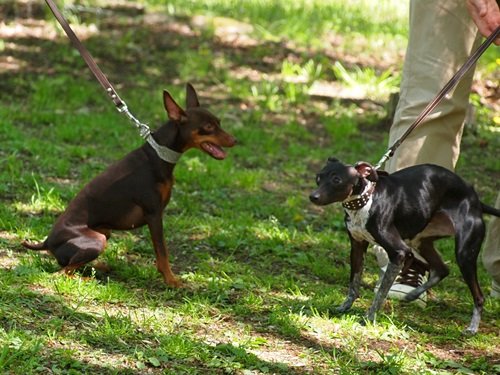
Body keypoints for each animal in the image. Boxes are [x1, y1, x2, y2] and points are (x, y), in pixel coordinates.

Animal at [21, 83, 236, 286]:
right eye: (208, 126)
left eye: (219, 122)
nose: (235, 140)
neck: (158, 156)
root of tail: (47, 242)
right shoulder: (154, 214)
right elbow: (162, 252)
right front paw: (171, 280)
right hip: (97, 239)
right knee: (61, 273)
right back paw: (88, 277)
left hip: (104, 232)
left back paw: (99, 266)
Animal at [308, 158, 500, 334]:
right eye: (318, 178)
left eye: (337, 180)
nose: (313, 197)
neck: (367, 200)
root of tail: (475, 199)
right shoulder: (357, 247)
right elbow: (353, 285)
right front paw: (344, 307)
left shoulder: (399, 252)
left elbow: (380, 293)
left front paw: (369, 317)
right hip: (421, 242)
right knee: (442, 269)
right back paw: (413, 294)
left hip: (464, 253)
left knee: (479, 296)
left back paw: (472, 328)